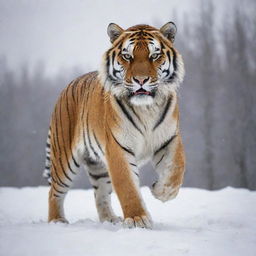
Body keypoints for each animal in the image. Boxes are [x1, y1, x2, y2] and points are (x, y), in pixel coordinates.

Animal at [43, 22, 185, 229]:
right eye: (127, 56)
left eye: (154, 55)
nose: (141, 80)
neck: (146, 108)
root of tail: (67, 86)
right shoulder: (118, 148)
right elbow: (127, 186)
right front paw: (137, 219)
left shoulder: (169, 139)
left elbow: (176, 169)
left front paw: (161, 191)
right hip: (64, 159)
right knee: (54, 191)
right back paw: (57, 220)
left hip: (99, 167)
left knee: (100, 194)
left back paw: (109, 220)